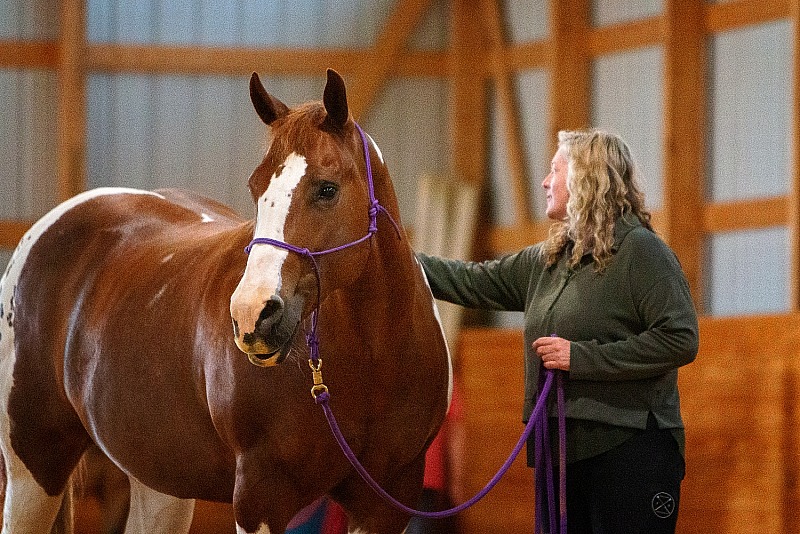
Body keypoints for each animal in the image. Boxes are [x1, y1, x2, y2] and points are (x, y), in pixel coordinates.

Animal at [0, 69, 450, 532]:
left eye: (327, 189)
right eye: (255, 188)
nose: (252, 315)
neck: (372, 359)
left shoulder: (388, 501)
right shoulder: (260, 496)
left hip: (160, 479)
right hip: (34, 464)